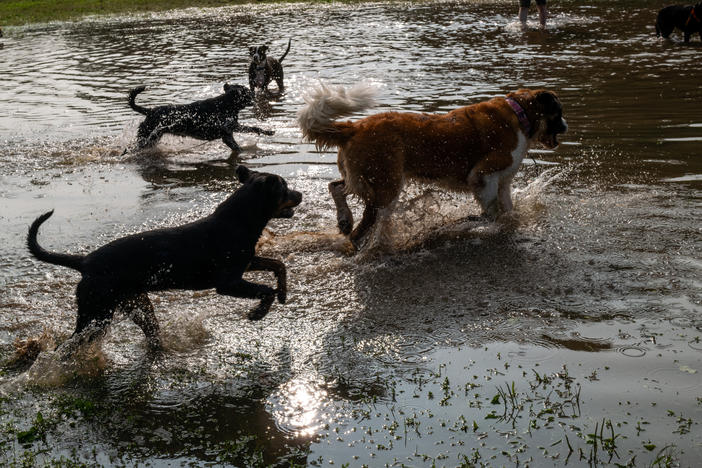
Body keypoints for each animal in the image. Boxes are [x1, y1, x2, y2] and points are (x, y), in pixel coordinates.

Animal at [26, 166, 302, 360]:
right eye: (285, 188)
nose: (300, 194)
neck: (240, 220)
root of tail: (85, 261)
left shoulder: (247, 263)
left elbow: (278, 264)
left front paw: (284, 294)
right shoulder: (228, 282)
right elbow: (265, 290)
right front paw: (258, 312)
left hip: (136, 305)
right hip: (96, 312)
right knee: (67, 345)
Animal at [128, 82, 274, 152]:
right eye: (247, 91)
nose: (255, 93)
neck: (226, 104)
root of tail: (150, 111)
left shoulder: (231, 130)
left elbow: (253, 128)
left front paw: (267, 132)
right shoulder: (227, 135)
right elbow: (240, 145)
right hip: (146, 138)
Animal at [296, 85, 568, 250]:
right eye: (558, 112)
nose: (566, 125)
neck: (520, 114)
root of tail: (355, 126)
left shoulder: (503, 182)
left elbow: (508, 210)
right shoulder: (483, 176)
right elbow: (491, 212)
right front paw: (469, 223)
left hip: (363, 178)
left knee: (336, 187)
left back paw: (345, 220)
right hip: (386, 186)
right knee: (369, 221)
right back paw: (365, 242)